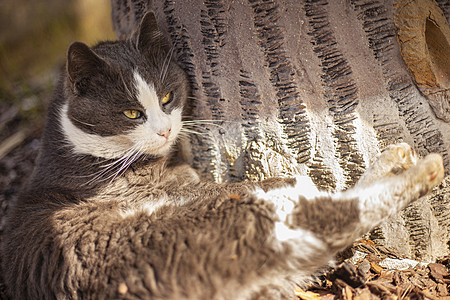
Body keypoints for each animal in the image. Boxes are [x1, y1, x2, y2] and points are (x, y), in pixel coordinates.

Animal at [0, 10, 446, 298]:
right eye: (130, 113)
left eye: (168, 97)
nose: (164, 130)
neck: (78, 152)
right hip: (230, 218)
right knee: (332, 209)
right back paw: (422, 169)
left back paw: (394, 158)